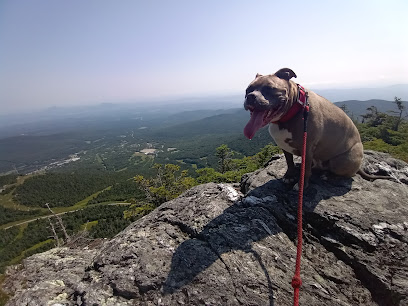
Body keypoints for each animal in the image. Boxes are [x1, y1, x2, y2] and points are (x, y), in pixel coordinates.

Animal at [245, 67, 386, 189]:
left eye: (269, 88)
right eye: (248, 89)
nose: (250, 96)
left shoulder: (307, 148)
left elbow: (306, 170)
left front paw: (302, 185)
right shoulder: (284, 146)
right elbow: (289, 162)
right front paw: (289, 176)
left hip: (343, 160)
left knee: (344, 173)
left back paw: (328, 176)